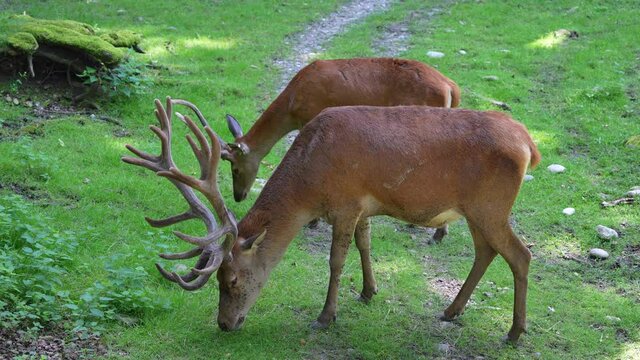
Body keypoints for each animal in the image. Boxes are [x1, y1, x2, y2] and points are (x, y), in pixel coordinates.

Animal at [121, 96, 540, 344]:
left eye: (232, 279)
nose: (225, 323)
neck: (311, 183)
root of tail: (529, 145)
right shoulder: (363, 207)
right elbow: (364, 243)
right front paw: (369, 292)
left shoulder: (346, 202)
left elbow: (337, 260)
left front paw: (326, 316)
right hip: (476, 210)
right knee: (486, 252)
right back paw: (452, 311)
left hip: (491, 205)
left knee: (521, 254)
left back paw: (514, 331)